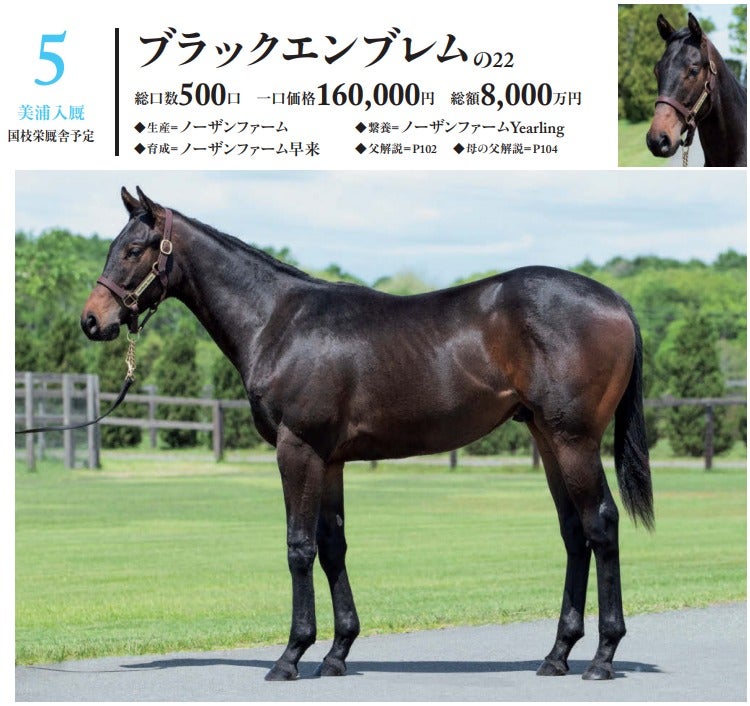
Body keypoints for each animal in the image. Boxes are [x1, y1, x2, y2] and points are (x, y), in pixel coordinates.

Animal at [81, 187, 654, 682]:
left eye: (133, 249)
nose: (92, 320)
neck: (278, 322)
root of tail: (616, 302)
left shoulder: (298, 450)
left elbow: (299, 547)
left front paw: (290, 655)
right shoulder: (329, 459)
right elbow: (332, 546)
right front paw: (337, 653)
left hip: (574, 440)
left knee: (601, 525)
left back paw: (603, 656)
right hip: (546, 438)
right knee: (574, 532)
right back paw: (557, 654)